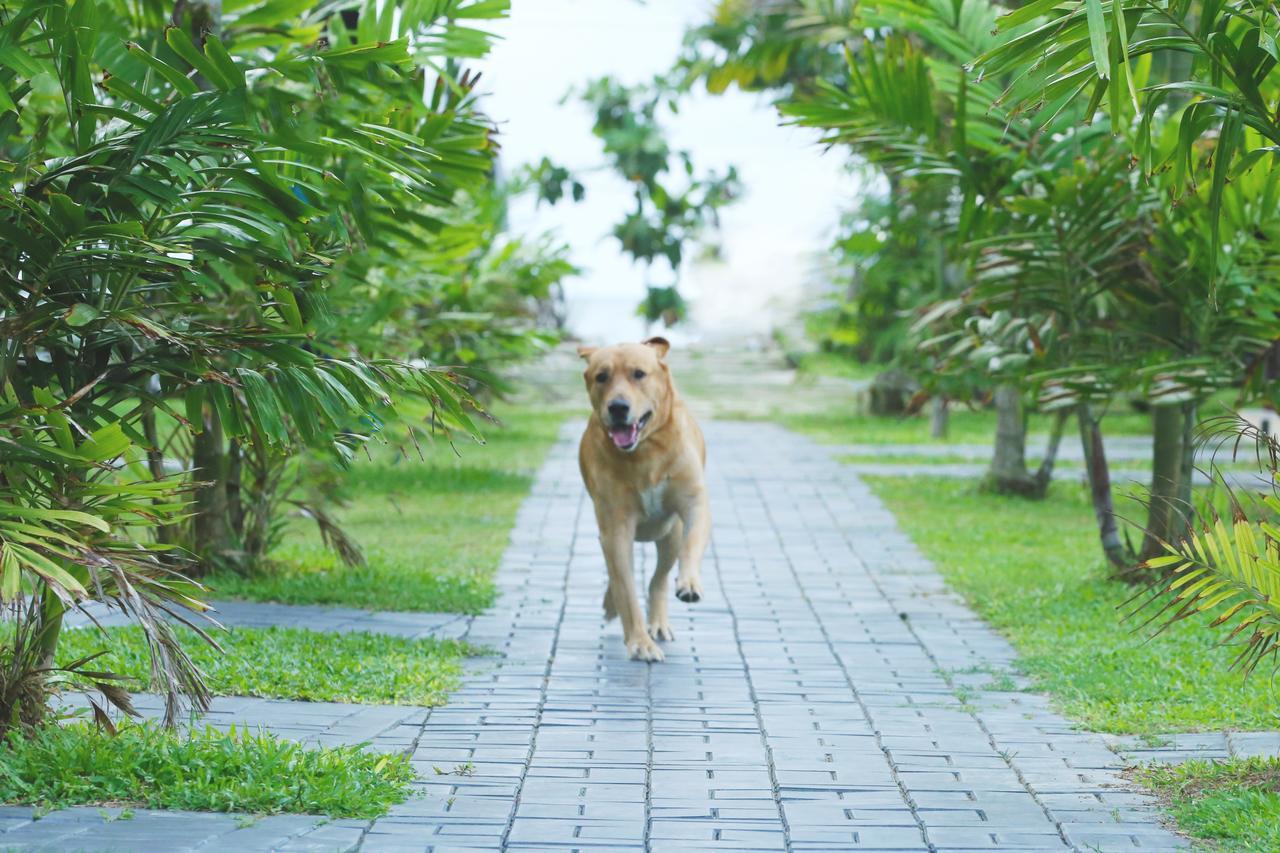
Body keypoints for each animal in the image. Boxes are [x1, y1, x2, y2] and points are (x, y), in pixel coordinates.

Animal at [581, 335, 711, 660]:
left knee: (659, 577)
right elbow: (626, 588)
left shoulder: (693, 501)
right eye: (601, 376)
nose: (618, 407)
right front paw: (640, 642)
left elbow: (692, 541)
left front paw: (690, 582)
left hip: (669, 533)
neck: (645, 452)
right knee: (618, 575)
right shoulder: (615, 527)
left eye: (639, 373)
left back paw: (660, 620)